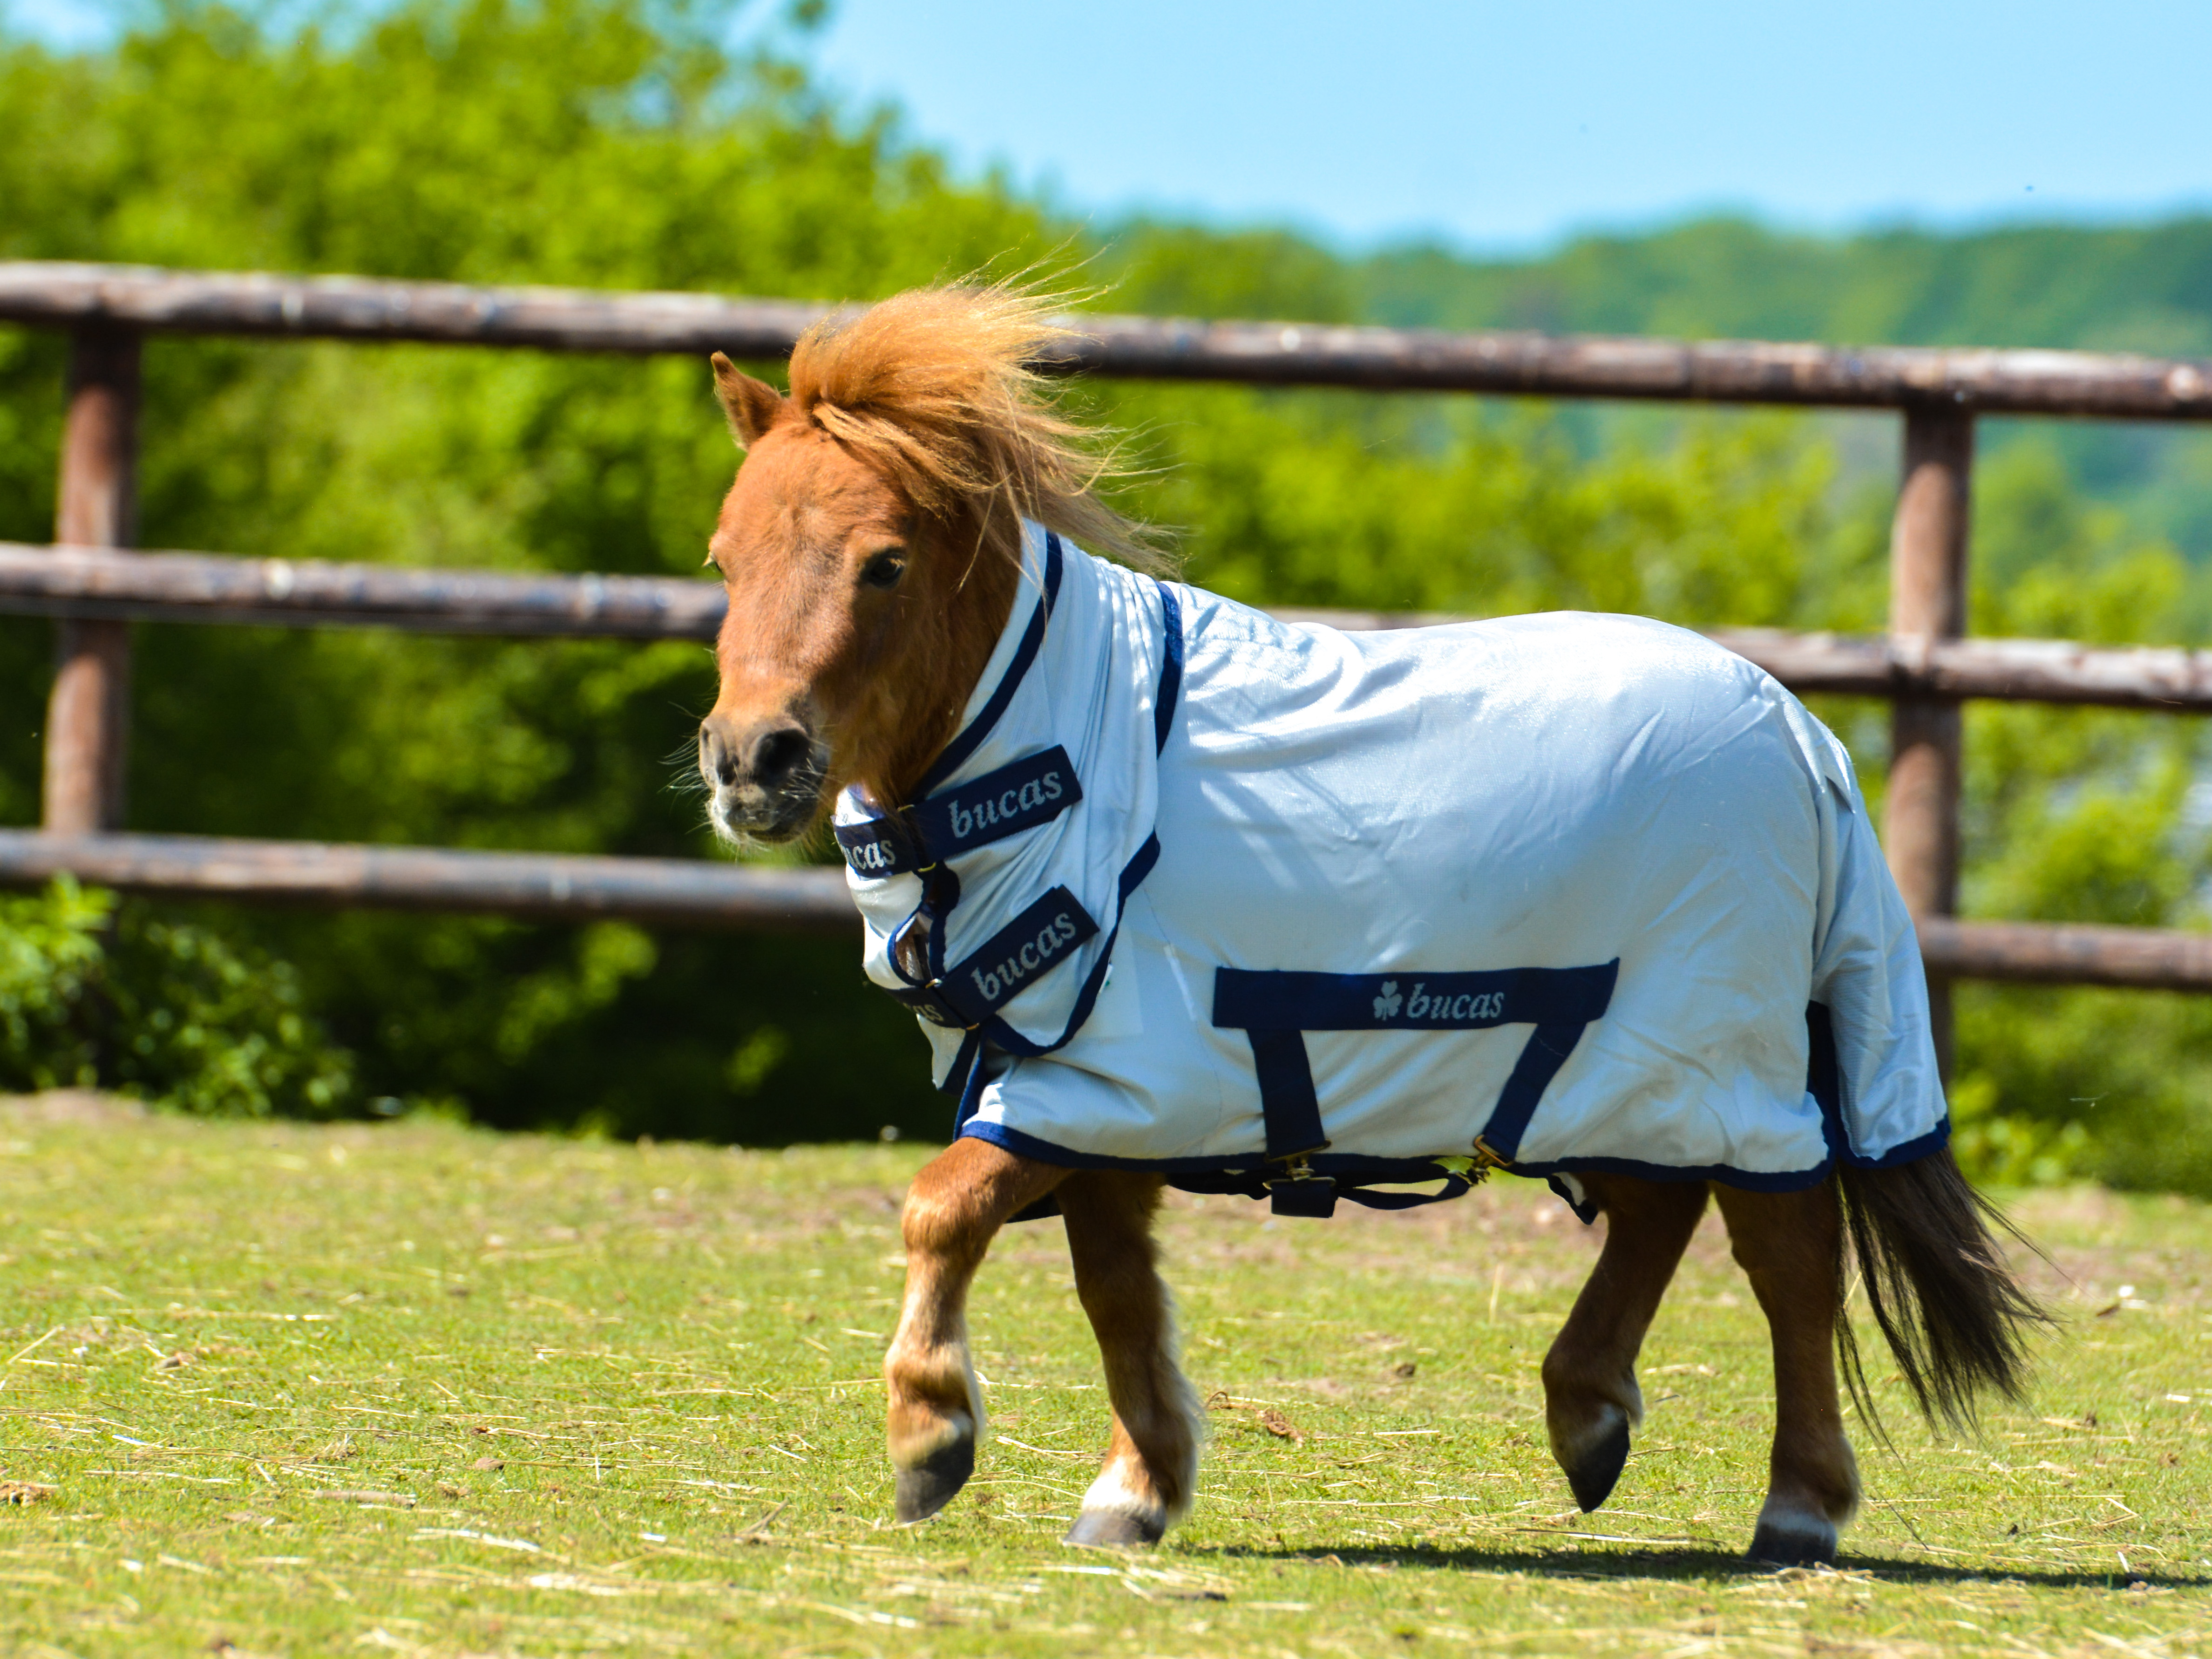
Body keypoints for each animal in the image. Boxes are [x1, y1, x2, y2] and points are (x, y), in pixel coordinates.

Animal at [692, 284, 2046, 1565]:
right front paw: (1137, 1488)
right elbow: (1114, 1292)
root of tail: (1798, 732)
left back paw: (1796, 1503)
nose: (752, 757)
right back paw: (1586, 1412)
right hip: (1613, 1063)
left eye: (884, 563)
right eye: (720, 561)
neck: (1074, 764)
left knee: (1785, 1254)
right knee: (1661, 1210)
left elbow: (942, 1209)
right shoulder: (1096, 1110)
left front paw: (930, 1430)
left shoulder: (1106, 1086)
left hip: (1718, 1060)